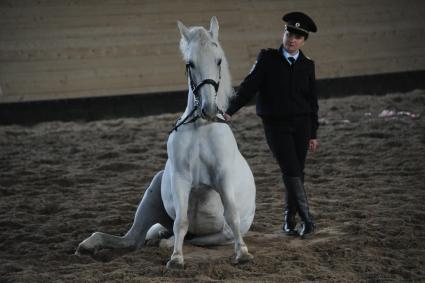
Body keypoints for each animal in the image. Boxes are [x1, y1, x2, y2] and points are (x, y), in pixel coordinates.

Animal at [75, 16, 255, 270]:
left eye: (218, 60)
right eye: (190, 64)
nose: (209, 110)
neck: (201, 128)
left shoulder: (223, 177)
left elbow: (231, 215)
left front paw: (243, 254)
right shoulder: (181, 178)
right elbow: (181, 221)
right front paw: (176, 259)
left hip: (216, 235)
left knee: (197, 237)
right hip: (152, 193)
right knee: (134, 239)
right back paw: (90, 245)